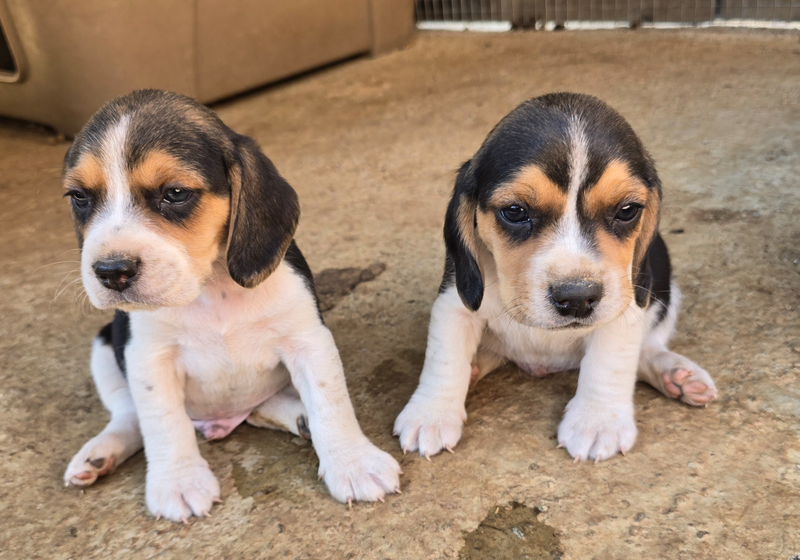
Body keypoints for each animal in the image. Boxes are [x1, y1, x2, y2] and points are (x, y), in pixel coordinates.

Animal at [61, 89, 400, 524]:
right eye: (79, 198)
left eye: (175, 193)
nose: (111, 271)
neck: (211, 288)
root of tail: (217, 423)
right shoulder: (147, 357)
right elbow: (163, 421)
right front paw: (179, 481)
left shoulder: (308, 341)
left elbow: (332, 403)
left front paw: (354, 463)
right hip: (104, 345)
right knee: (129, 414)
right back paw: (100, 453)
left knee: (260, 407)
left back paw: (300, 418)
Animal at [396, 94, 716, 462]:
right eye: (515, 211)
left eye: (627, 210)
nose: (577, 298)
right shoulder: (456, 299)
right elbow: (445, 358)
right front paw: (431, 414)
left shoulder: (628, 301)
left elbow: (610, 360)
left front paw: (597, 421)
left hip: (664, 282)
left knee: (649, 345)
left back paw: (677, 375)